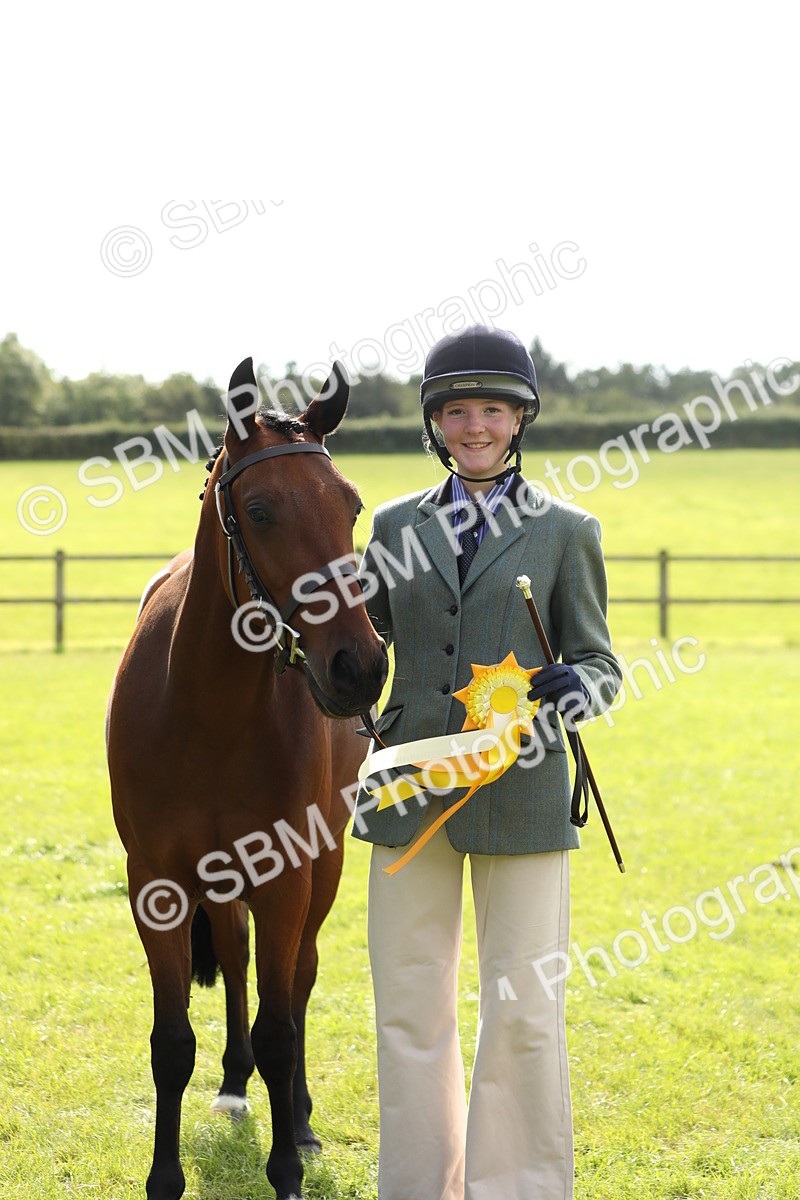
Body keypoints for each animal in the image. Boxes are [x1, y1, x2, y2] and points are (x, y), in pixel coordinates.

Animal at [106, 355, 388, 1200]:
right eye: (260, 510)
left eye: (350, 505)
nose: (359, 667)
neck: (206, 706)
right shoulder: (157, 882)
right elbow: (172, 1042)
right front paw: (164, 1177)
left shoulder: (287, 877)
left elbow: (282, 1025)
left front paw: (287, 1166)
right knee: (234, 958)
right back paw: (234, 1085)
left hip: (319, 868)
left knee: (297, 979)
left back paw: (298, 1115)